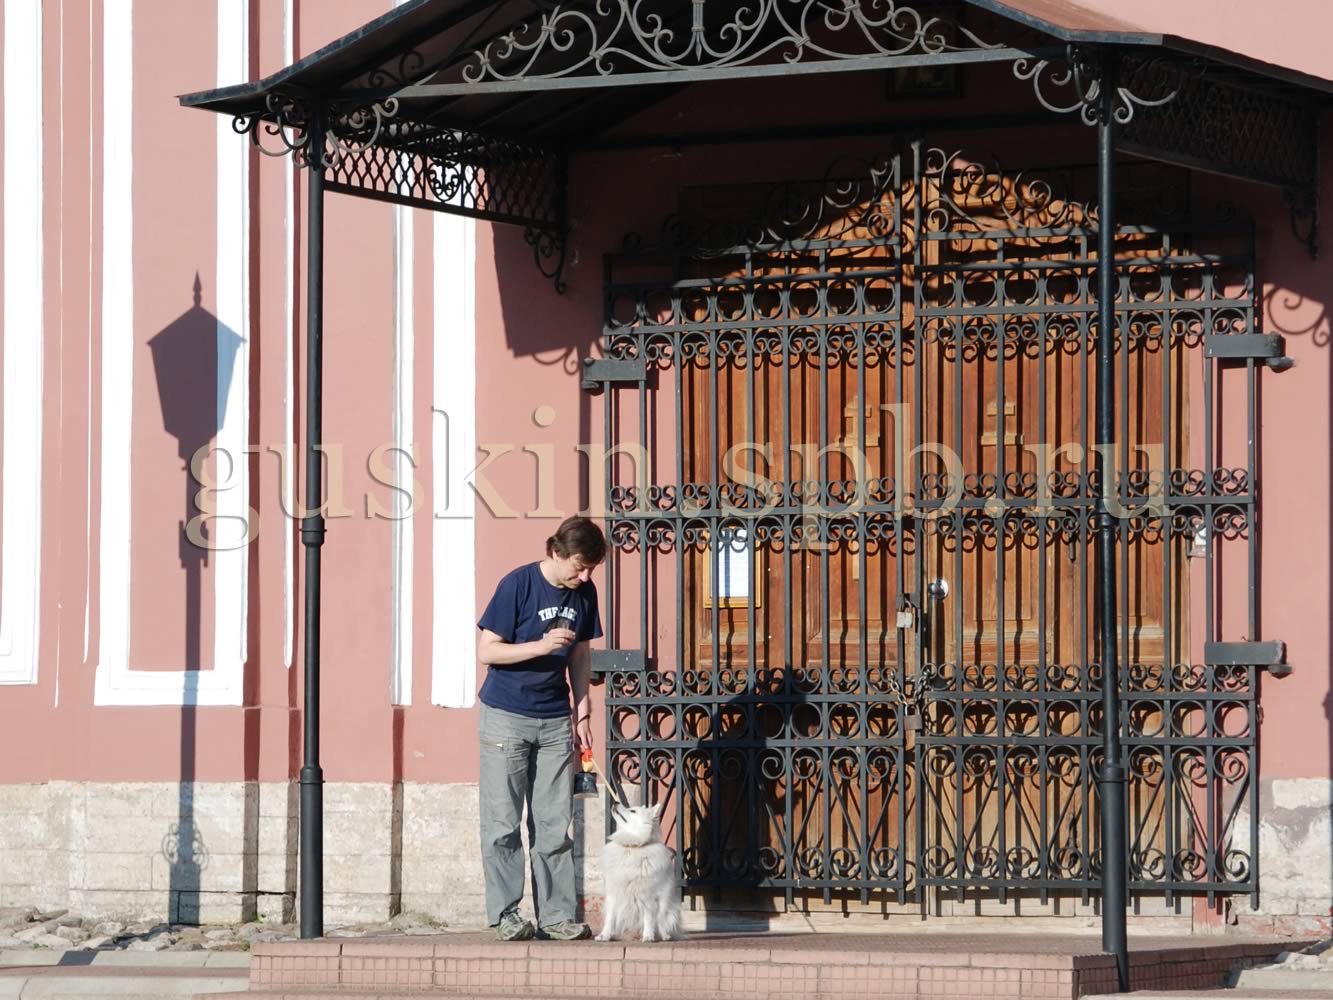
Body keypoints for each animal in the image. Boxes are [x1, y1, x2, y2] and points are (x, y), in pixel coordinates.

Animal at [595, 803, 683, 942]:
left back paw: (664, 935)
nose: (615, 802)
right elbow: (610, 918)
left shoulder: (648, 896)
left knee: (662, 924)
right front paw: (604, 935)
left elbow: (649, 918)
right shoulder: (614, 893)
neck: (632, 847)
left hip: (671, 910)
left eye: (633, 811)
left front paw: (648, 936)